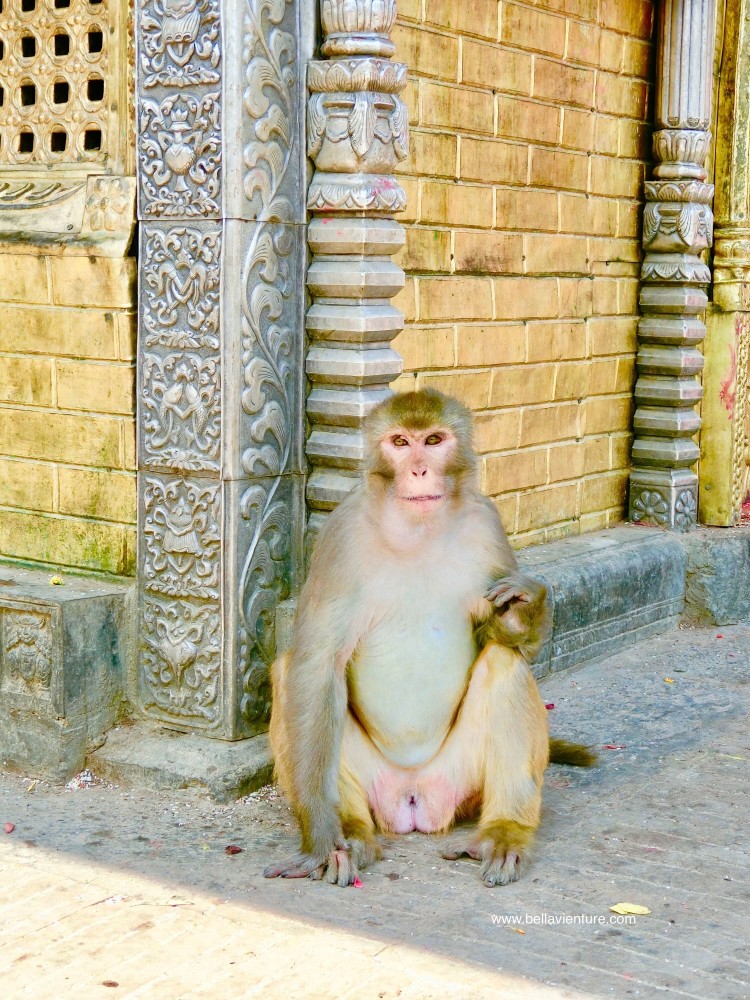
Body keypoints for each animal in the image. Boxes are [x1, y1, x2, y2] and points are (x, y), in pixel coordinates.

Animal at [264, 389, 595, 888]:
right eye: (401, 442)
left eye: (434, 440)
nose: (419, 469)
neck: (415, 532)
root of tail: (414, 800)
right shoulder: (340, 538)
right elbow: (316, 666)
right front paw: (321, 836)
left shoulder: (487, 523)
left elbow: (503, 639)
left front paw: (526, 608)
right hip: (379, 784)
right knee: (293, 672)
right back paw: (352, 834)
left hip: (461, 783)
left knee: (505, 664)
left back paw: (504, 832)